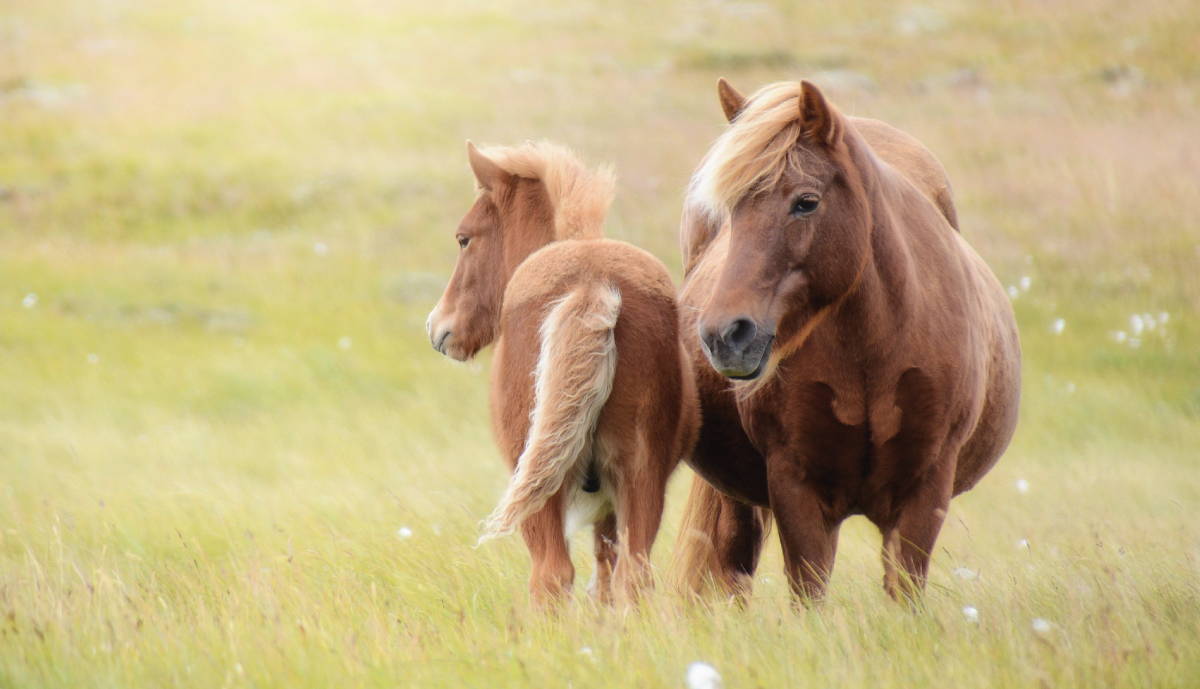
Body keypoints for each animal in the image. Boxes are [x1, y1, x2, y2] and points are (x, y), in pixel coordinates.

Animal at [427, 142, 700, 607]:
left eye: (464, 238)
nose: (439, 327)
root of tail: (591, 283)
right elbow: (606, 576)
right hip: (640, 475)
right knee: (632, 575)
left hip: (539, 489)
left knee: (551, 575)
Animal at [672, 81, 1017, 604]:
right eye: (729, 211)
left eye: (806, 202)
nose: (723, 334)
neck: (871, 350)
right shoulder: (797, 489)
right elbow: (808, 593)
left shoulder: (925, 490)